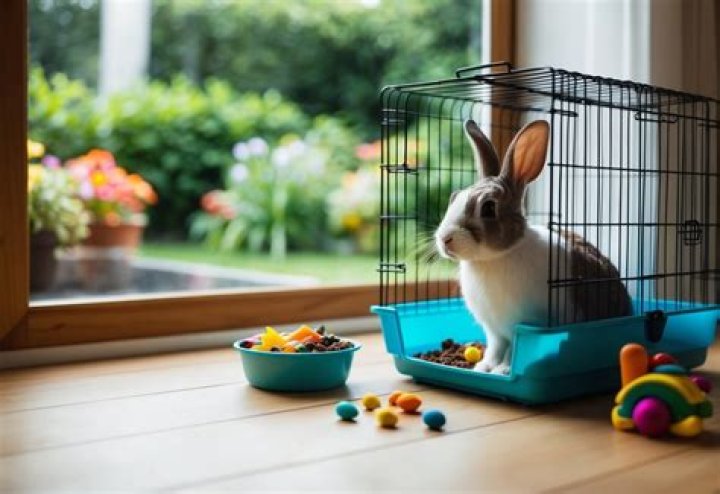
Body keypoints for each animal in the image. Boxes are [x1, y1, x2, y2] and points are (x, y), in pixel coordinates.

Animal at [434, 119, 632, 375]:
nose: (444, 239)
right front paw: (483, 367)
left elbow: (512, 352)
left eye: (488, 208)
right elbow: (495, 348)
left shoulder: (520, 325)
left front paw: (503, 371)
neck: (495, 257)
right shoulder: (494, 331)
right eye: (454, 197)